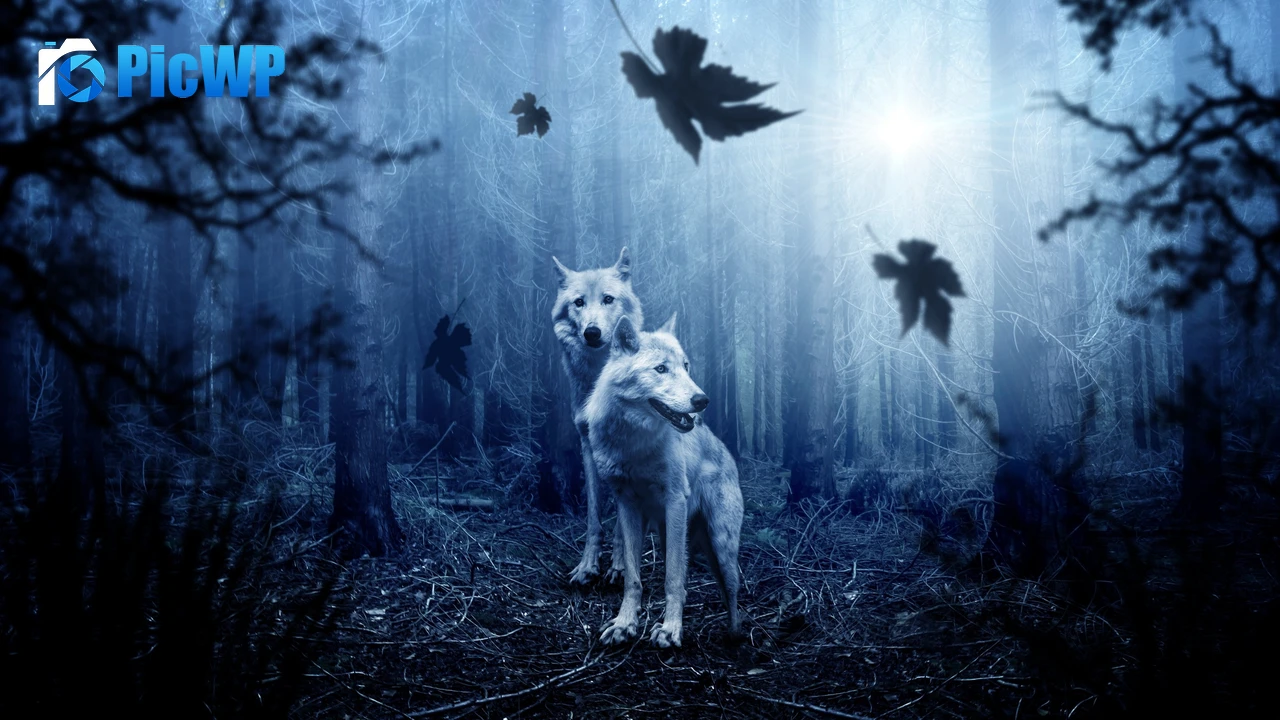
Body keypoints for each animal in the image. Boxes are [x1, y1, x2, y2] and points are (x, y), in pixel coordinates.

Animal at [552, 247, 644, 585]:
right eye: (579, 302)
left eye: (608, 299)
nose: (592, 332)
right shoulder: (587, 446)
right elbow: (594, 516)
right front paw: (587, 566)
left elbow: (622, 523)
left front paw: (620, 567)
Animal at [585, 313, 744, 647]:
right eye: (661, 369)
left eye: (686, 366)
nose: (702, 400)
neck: (633, 444)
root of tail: (727, 454)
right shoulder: (627, 505)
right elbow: (633, 577)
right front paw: (624, 624)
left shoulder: (675, 501)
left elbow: (672, 578)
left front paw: (671, 630)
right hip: (670, 533)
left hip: (720, 544)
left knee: (732, 590)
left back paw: (734, 636)